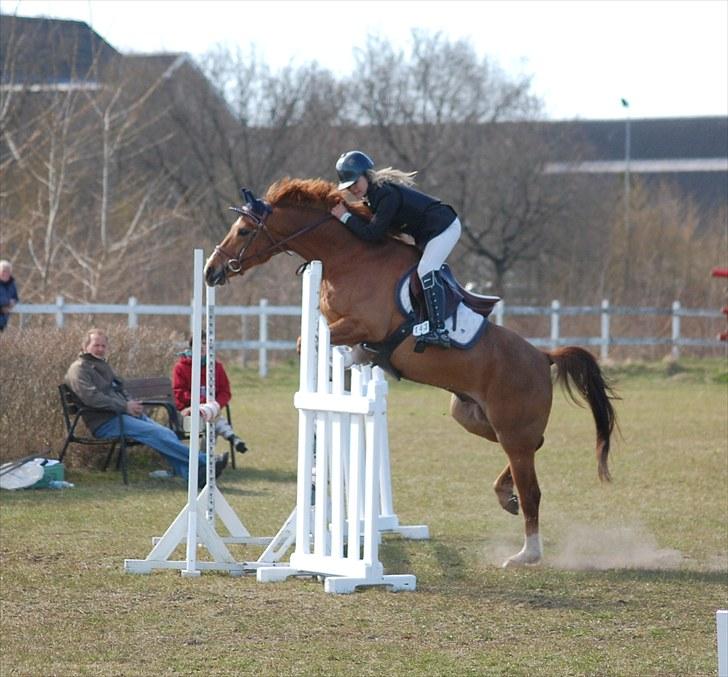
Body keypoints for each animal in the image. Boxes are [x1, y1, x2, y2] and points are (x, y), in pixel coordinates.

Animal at [206, 178, 620, 564]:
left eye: (244, 230)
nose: (212, 271)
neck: (349, 257)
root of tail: (543, 355)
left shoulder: (362, 324)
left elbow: (310, 342)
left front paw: (344, 365)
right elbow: (313, 341)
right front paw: (346, 368)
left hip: (510, 424)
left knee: (531, 485)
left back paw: (526, 554)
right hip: (474, 416)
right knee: (533, 447)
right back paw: (507, 497)